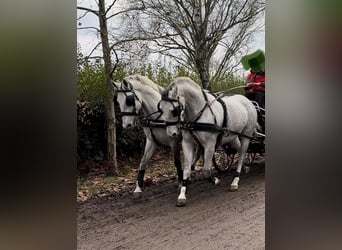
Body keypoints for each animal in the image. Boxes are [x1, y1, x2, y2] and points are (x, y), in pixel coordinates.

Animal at [159, 77, 258, 206]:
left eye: (174, 110)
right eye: (161, 110)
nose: (172, 134)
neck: (200, 114)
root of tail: (248, 101)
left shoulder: (210, 145)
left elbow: (206, 170)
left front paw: (214, 180)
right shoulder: (187, 143)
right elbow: (187, 168)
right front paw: (182, 193)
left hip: (246, 135)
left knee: (242, 154)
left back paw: (235, 180)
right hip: (233, 136)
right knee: (239, 149)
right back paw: (245, 167)